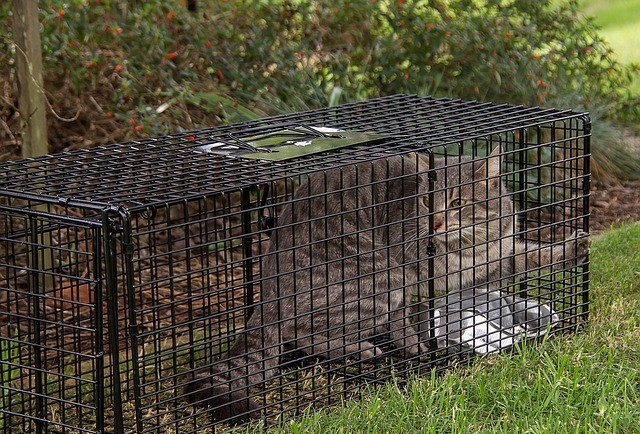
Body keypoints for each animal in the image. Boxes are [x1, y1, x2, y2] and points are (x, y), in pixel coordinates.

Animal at [184, 147, 592, 422]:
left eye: (457, 202)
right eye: (427, 201)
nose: (436, 222)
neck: (468, 247)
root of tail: (267, 285)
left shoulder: (494, 261)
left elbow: (532, 255)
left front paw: (572, 248)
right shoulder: (405, 275)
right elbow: (402, 323)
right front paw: (415, 347)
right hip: (375, 275)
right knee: (300, 331)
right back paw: (361, 349)